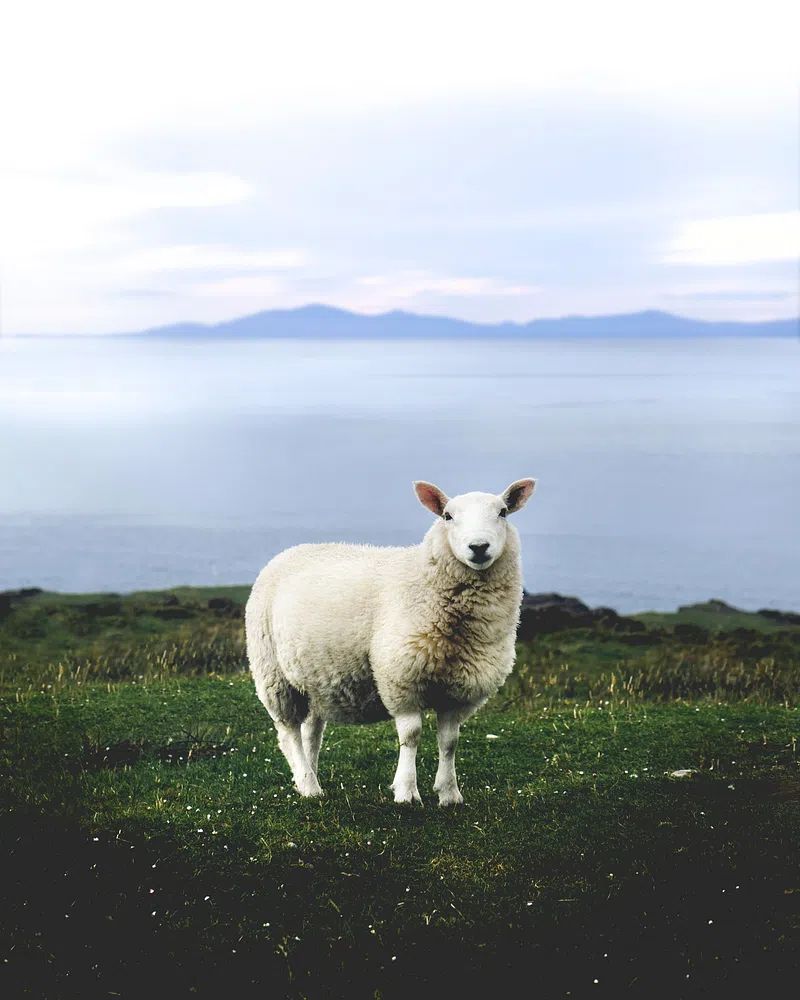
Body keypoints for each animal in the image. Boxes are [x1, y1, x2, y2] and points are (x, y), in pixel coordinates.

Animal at [245, 477, 536, 805]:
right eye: (447, 516)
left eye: (502, 513)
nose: (479, 547)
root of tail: (291, 550)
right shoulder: (401, 677)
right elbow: (411, 736)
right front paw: (406, 791)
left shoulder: (458, 689)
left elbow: (449, 742)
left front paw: (449, 793)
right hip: (274, 673)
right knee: (289, 732)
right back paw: (308, 784)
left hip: (314, 680)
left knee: (312, 731)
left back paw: (308, 777)